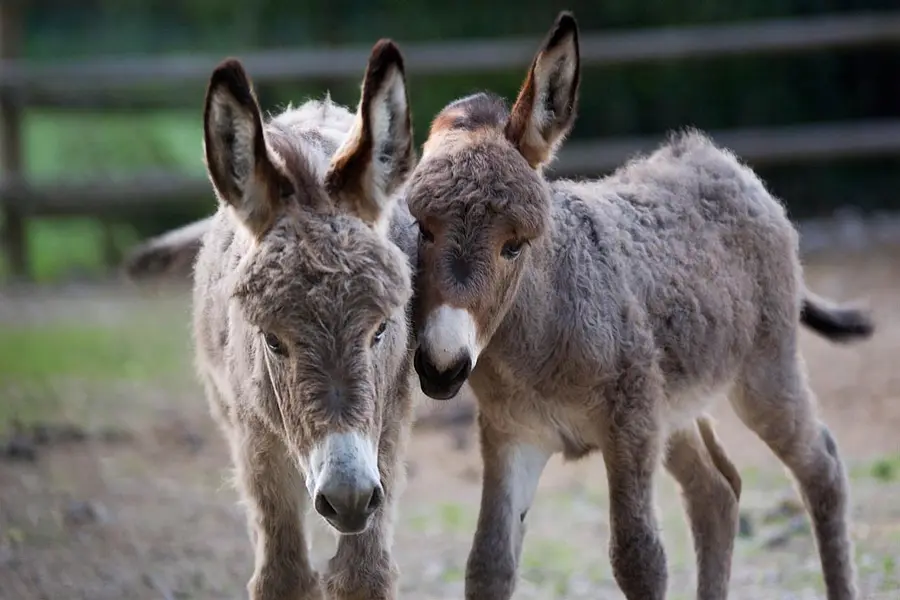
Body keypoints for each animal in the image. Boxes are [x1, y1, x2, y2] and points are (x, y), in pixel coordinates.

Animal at [191, 39, 418, 596]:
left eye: (381, 329)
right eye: (273, 341)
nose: (348, 498)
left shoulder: (387, 425)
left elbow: (363, 574)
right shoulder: (255, 440)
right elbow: (283, 576)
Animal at [408, 11, 872, 600]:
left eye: (514, 245)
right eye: (423, 229)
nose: (441, 367)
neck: (538, 341)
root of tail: (717, 159)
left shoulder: (628, 427)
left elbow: (639, 559)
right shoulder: (513, 434)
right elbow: (487, 565)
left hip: (763, 374)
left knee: (822, 469)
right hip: (671, 404)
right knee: (716, 491)